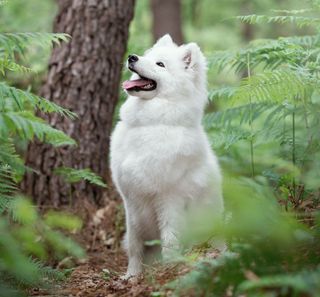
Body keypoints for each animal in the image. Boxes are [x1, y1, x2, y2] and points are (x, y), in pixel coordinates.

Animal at [109, 34, 222, 278]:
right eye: (147, 57)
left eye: (160, 64)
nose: (132, 57)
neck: (150, 125)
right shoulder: (130, 201)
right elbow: (135, 246)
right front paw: (132, 275)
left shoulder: (170, 198)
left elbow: (170, 240)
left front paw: (168, 272)